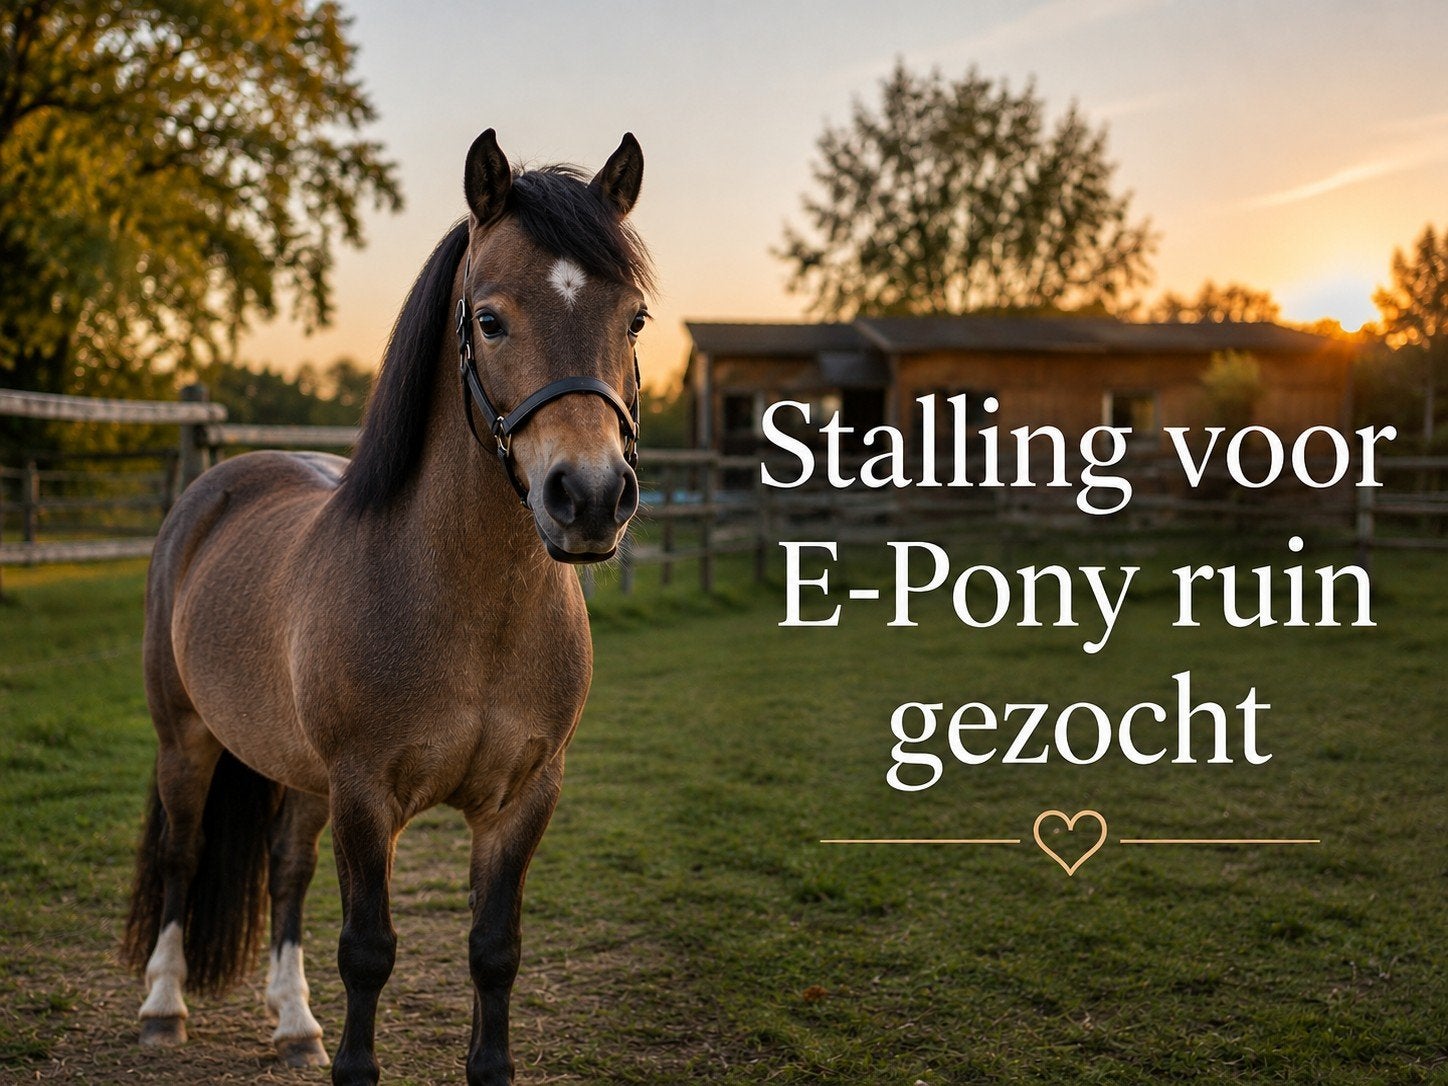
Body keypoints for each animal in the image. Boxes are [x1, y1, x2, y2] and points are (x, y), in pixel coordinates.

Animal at [120, 128, 654, 1086]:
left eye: (632, 318)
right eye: (489, 319)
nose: (590, 497)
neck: (471, 613)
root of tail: (217, 484)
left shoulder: (524, 801)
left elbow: (493, 952)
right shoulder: (366, 796)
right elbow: (368, 951)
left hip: (299, 775)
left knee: (285, 870)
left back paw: (294, 1023)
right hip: (185, 739)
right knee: (183, 857)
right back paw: (163, 1007)